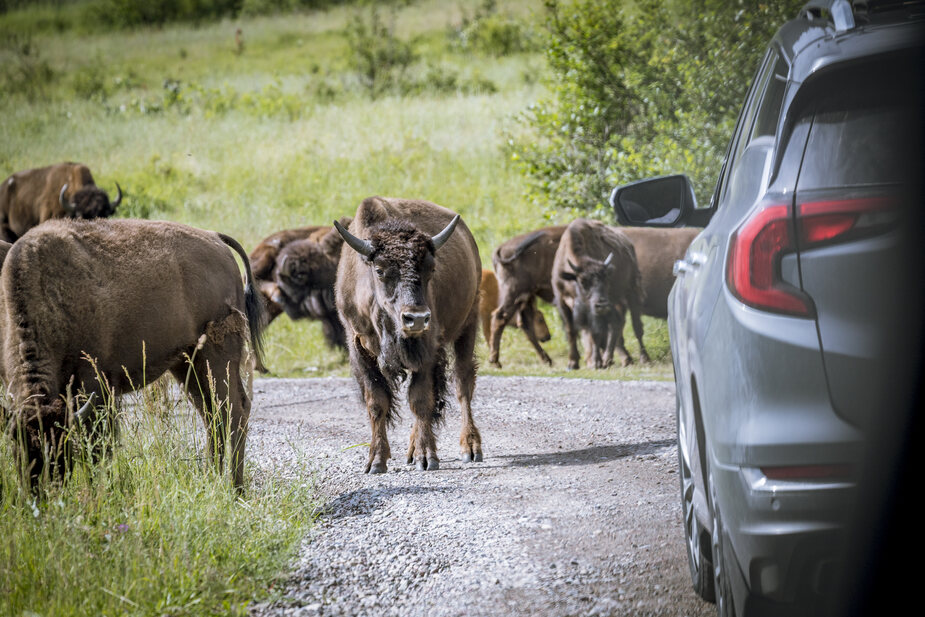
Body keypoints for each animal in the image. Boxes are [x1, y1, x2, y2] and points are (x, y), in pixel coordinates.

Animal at [0, 218, 268, 490]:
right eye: (17, 443)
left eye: (61, 444)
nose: (42, 490)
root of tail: (216, 238)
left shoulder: (95, 386)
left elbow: (98, 447)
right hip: (188, 363)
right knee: (212, 413)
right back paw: (210, 479)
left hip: (218, 356)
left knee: (234, 410)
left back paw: (234, 487)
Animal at [338, 196, 484, 472]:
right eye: (380, 270)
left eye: (431, 268)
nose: (416, 318)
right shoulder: (359, 347)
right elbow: (376, 402)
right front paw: (376, 461)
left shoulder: (425, 349)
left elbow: (420, 400)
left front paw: (427, 458)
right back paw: (411, 450)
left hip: (468, 325)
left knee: (463, 384)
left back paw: (470, 448)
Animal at [484, 225, 564, 366]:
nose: (548, 337)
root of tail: (500, 249)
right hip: (515, 293)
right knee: (500, 317)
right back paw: (495, 360)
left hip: (525, 296)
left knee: (524, 324)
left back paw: (547, 360)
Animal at [552, 219, 648, 368]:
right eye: (582, 281)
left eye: (606, 279)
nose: (601, 304)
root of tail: (628, 243)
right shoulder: (562, 302)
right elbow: (571, 331)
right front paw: (573, 363)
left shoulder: (596, 311)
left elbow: (595, 333)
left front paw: (596, 362)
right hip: (616, 301)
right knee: (617, 323)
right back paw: (616, 359)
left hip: (631, 291)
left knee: (636, 326)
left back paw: (643, 358)